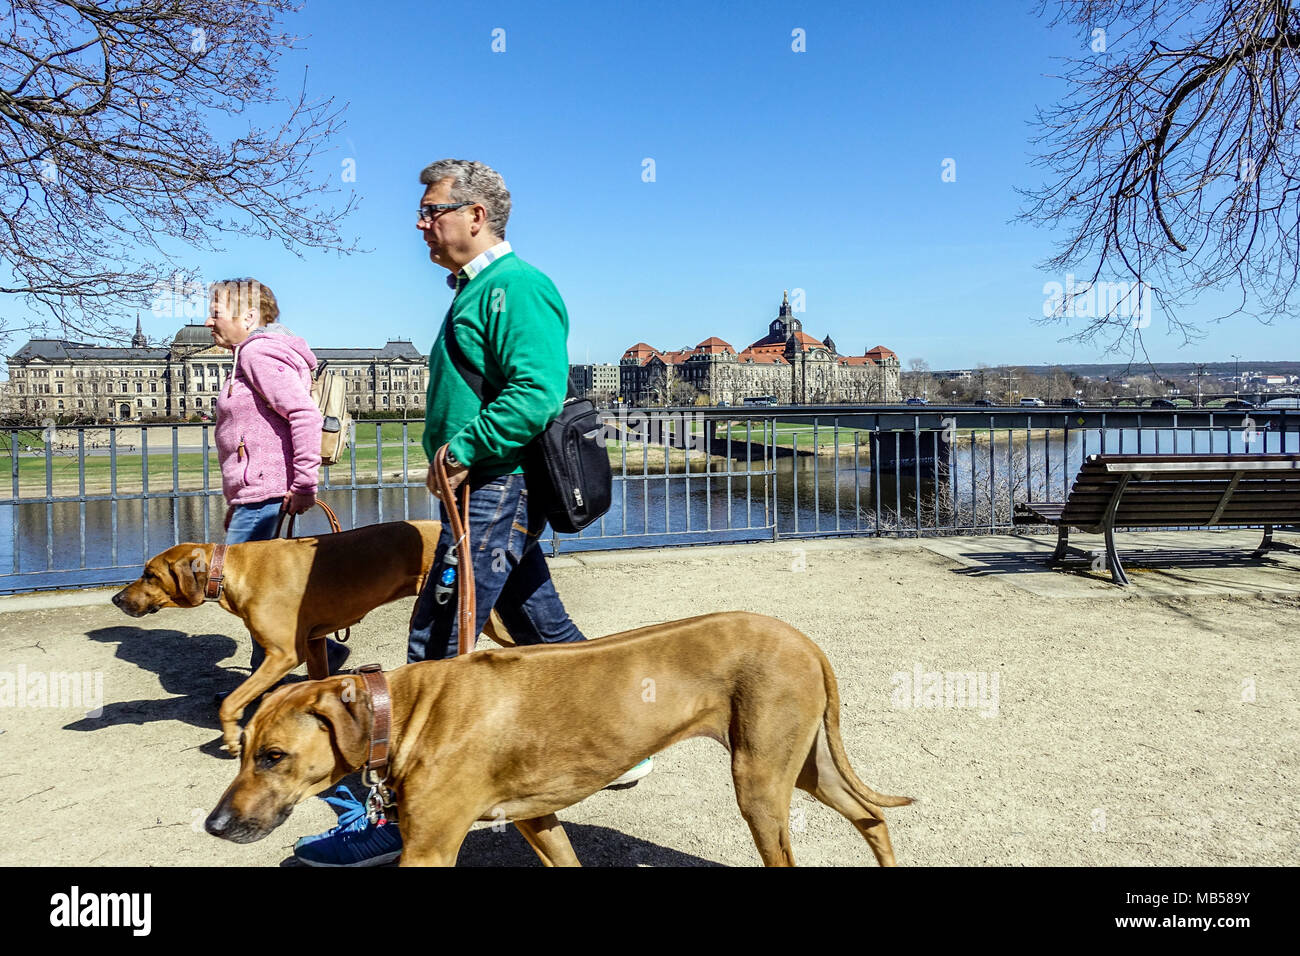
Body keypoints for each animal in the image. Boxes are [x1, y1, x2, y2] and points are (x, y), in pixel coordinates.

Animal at [111, 522, 509, 754]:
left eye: (149, 575)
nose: (117, 599)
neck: (230, 572)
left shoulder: (283, 654)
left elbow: (233, 701)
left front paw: (230, 737)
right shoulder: (315, 642)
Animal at [205, 613, 915, 868]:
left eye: (274, 757)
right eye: (241, 752)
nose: (213, 825)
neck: (403, 711)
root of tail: (803, 639)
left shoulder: (431, 849)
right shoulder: (536, 818)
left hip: (760, 779)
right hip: (802, 762)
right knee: (871, 817)